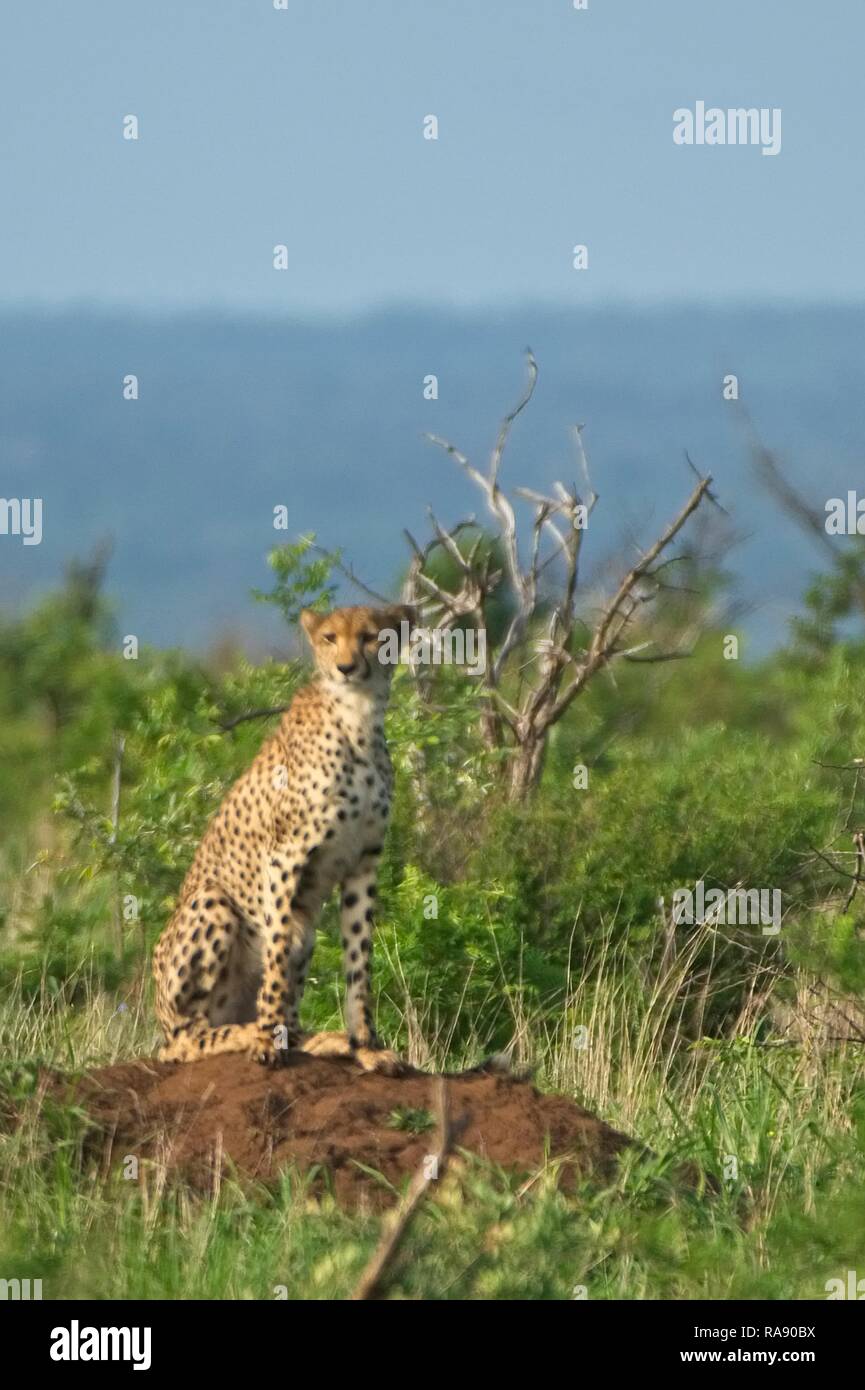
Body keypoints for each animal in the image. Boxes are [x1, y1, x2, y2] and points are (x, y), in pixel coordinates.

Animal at [153, 600, 417, 1073]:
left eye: (371, 636)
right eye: (329, 638)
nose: (346, 667)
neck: (358, 715)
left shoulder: (364, 861)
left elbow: (359, 963)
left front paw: (366, 1044)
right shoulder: (284, 856)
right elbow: (274, 955)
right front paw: (264, 1041)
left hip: (305, 928)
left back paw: (319, 1039)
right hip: (212, 904)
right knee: (187, 1040)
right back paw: (247, 1033)